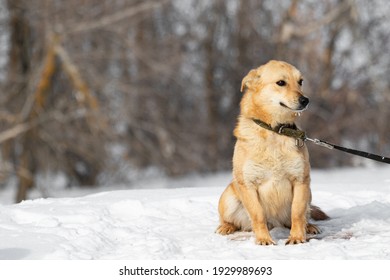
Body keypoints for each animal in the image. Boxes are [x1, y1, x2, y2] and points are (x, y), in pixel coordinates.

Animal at [215, 59, 328, 245]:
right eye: (281, 83)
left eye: (300, 81)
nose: (305, 100)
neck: (275, 131)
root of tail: (276, 224)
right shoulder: (248, 184)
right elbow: (258, 215)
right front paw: (263, 239)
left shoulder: (301, 181)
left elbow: (297, 213)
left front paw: (297, 237)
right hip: (229, 198)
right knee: (231, 220)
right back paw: (226, 227)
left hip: (309, 194)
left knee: (302, 215)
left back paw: (309, 226)